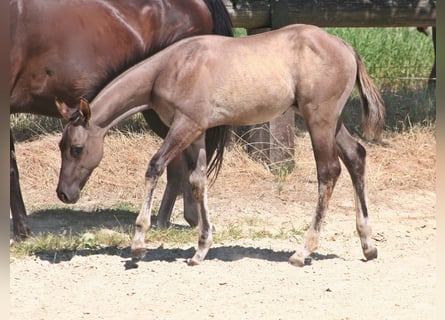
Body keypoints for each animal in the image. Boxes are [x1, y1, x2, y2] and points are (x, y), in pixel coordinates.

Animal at [56, 23, 386, 266]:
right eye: (61, 146)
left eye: (77, 148)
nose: (64, 193)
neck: (172, 68)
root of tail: (346, 47)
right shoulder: (197, 131)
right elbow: (197, 181)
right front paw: (201, 249)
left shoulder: (184, 125)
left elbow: (155, 167)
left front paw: (138, 244)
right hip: (332, 122)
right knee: (356, 157)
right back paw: (368, 245)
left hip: (319, 120)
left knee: (329, 171)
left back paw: (303, 251)